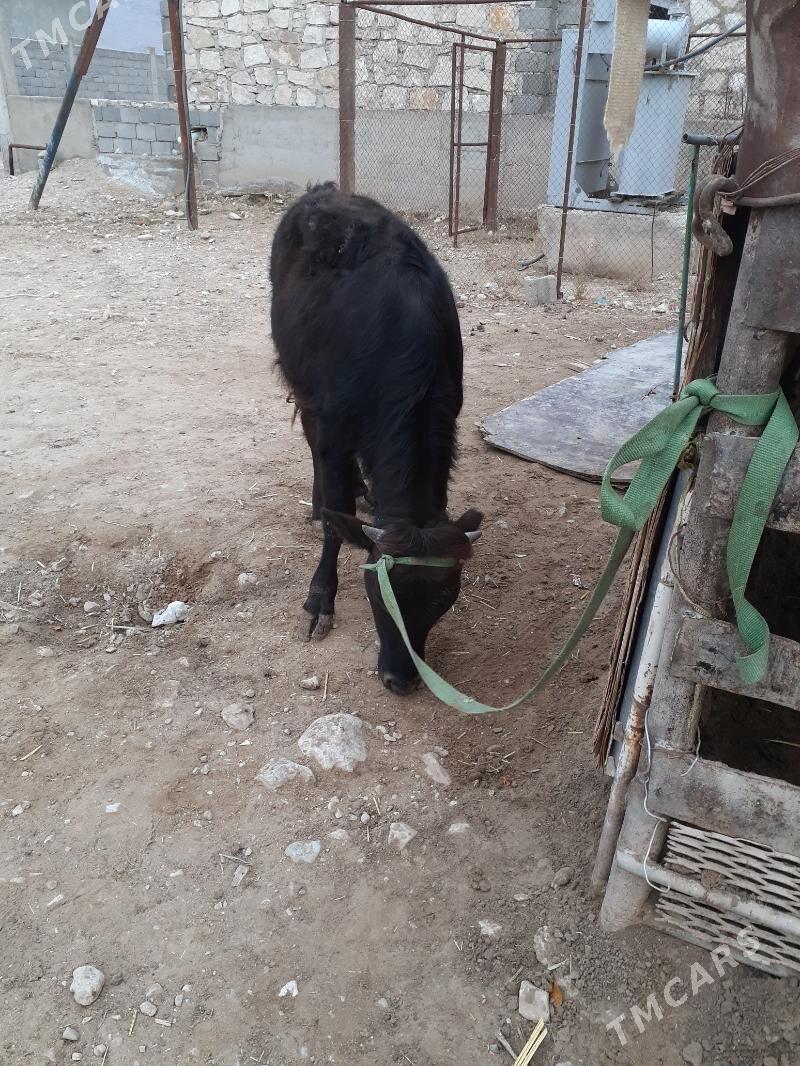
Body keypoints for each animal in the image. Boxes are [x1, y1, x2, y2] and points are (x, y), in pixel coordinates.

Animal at [270, 183, 483, 695]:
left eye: (444, 600)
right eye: (378, 596)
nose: (400, 680)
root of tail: (322, 191)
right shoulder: (331, 424)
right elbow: (335, 516)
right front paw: (320, 598)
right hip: (303, 388)